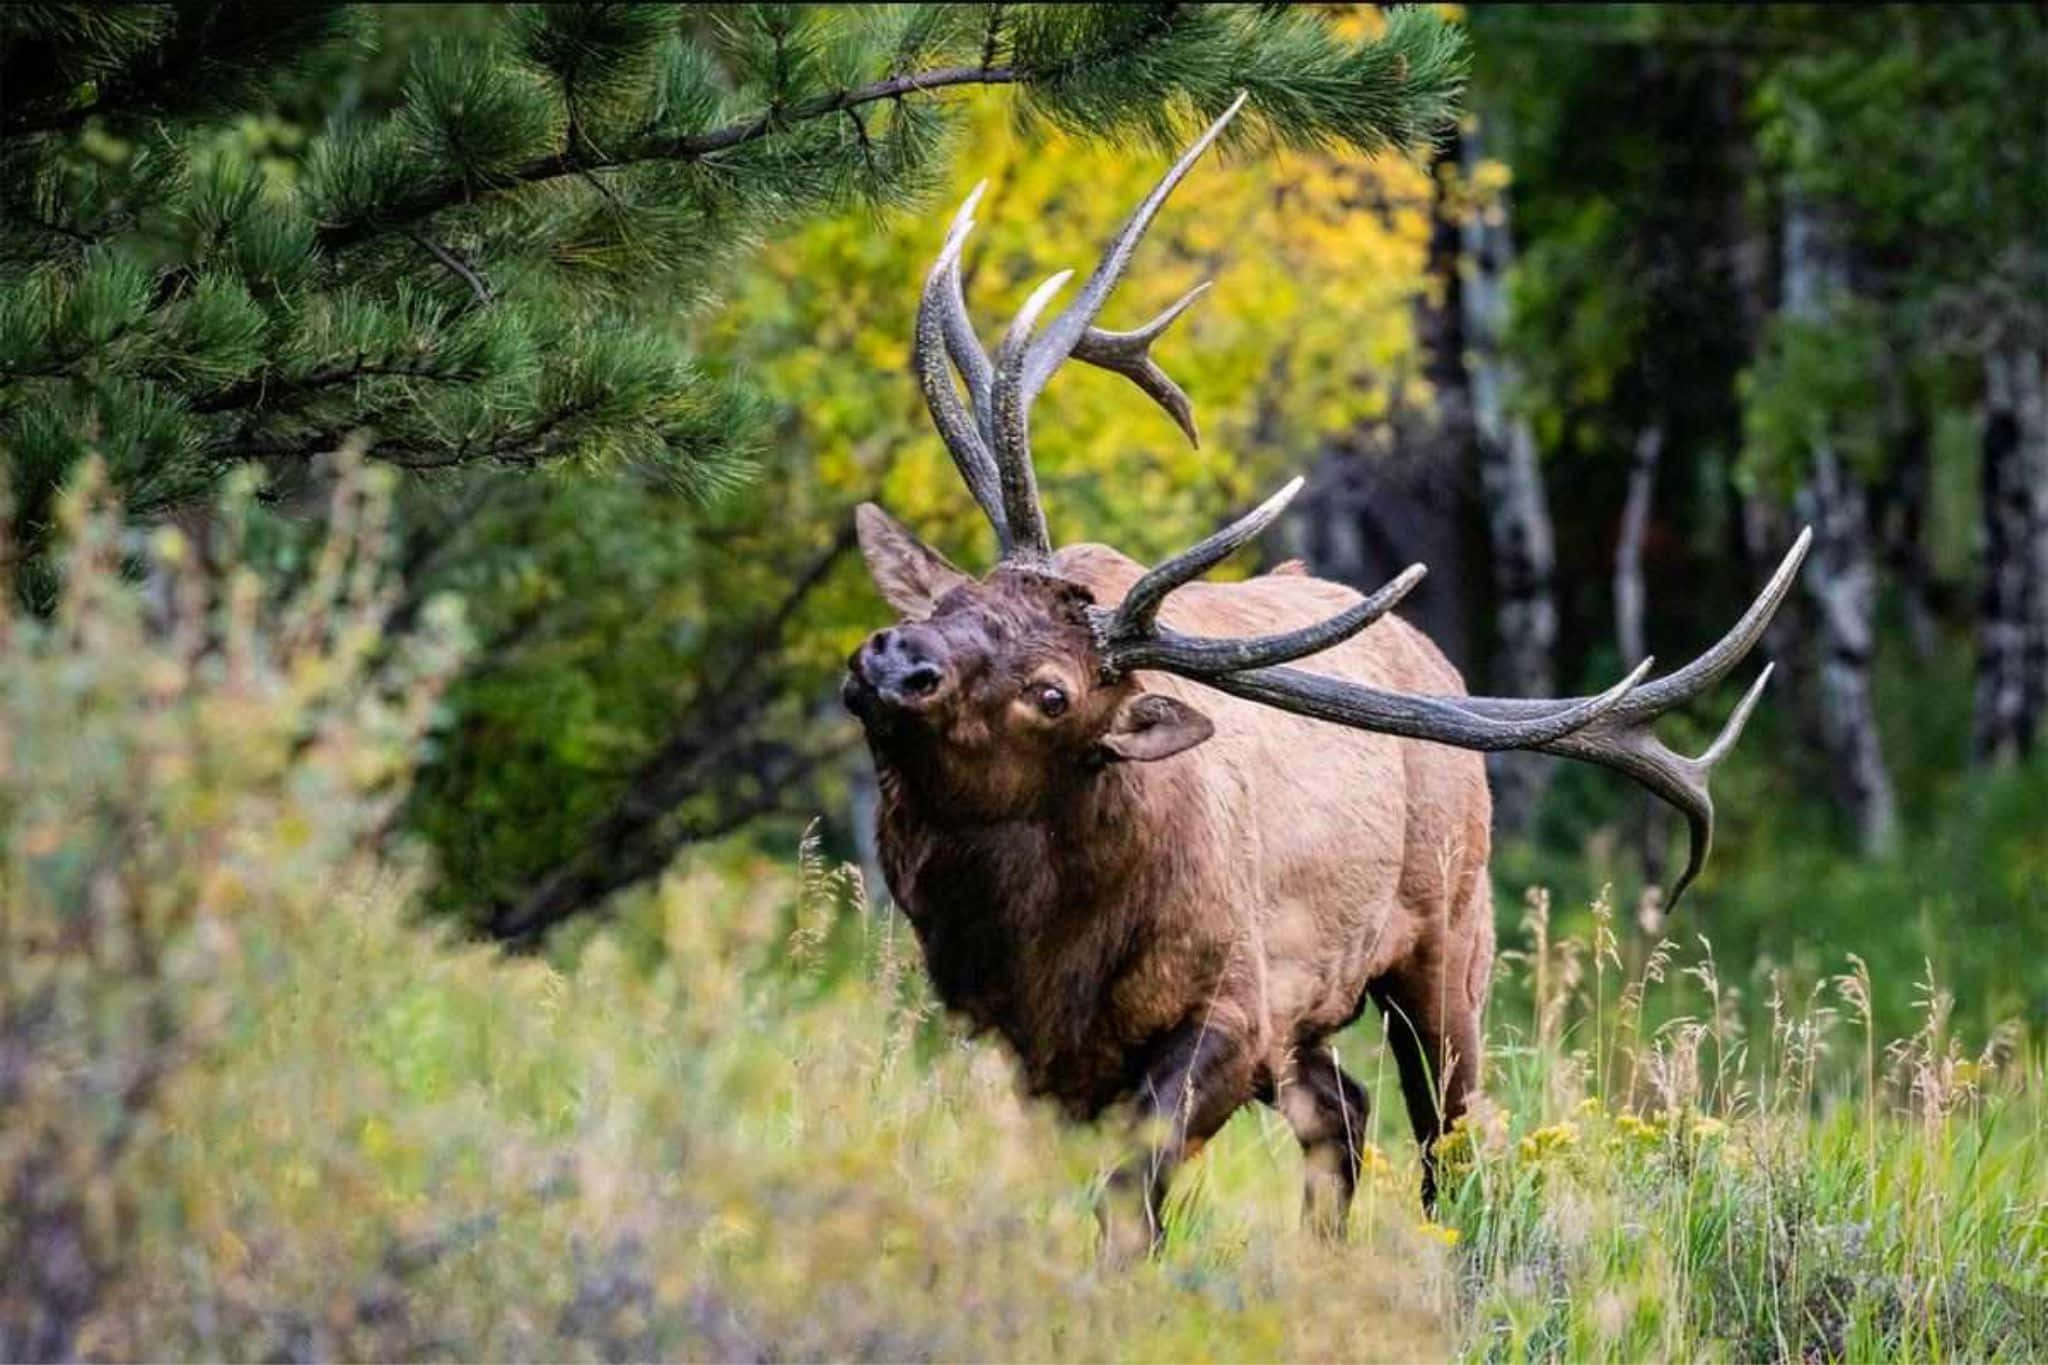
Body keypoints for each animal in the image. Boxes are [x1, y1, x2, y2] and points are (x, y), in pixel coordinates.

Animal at [841, 94, 1810, 1262]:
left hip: (1449, 940)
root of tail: (1438, 661)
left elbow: (1131, 1199)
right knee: (1343, 1112)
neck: (1043, 944)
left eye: (1053, 693)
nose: (896, 661)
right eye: (954, 598)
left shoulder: (1231, 1009)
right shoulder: (1024, 1045)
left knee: (1449, 1139)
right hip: (1315, 1005)